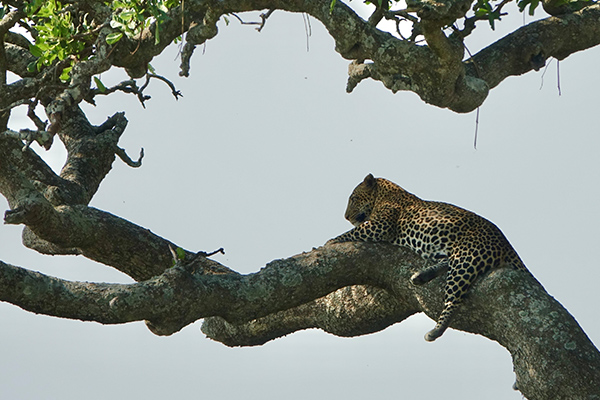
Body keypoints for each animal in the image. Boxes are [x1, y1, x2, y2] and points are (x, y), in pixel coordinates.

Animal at [328, 173, 528, 342]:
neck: (384, 194)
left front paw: (329, 242)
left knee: (453, 299)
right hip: (454, 254)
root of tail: (506, 244)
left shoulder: (380, 225)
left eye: (353, 199)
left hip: (466, 258)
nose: (346, 216)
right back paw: (421, 276)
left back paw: (435, 330)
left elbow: (350, 233)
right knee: (446, 265)